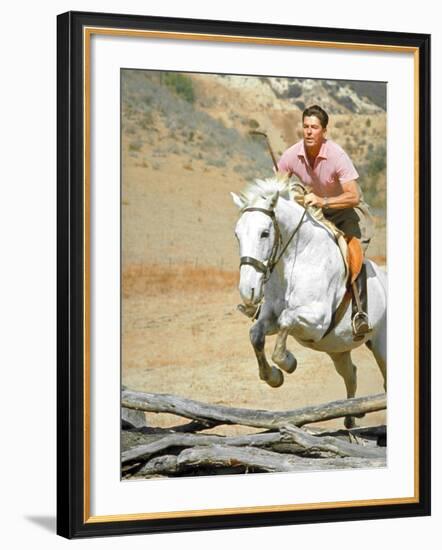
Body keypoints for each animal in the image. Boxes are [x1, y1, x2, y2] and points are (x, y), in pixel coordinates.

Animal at [231, 179, 386, 430]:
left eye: (265, 233)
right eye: (237, 235)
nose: (248, 291)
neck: (296, 260)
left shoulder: (317, 321)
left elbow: (287, 319)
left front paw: (288, 362)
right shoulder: (269, 316)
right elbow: (256, 334)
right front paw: (273, 377)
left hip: (381, 346)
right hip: (338, 349)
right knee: (351, 374)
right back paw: (352, 417)